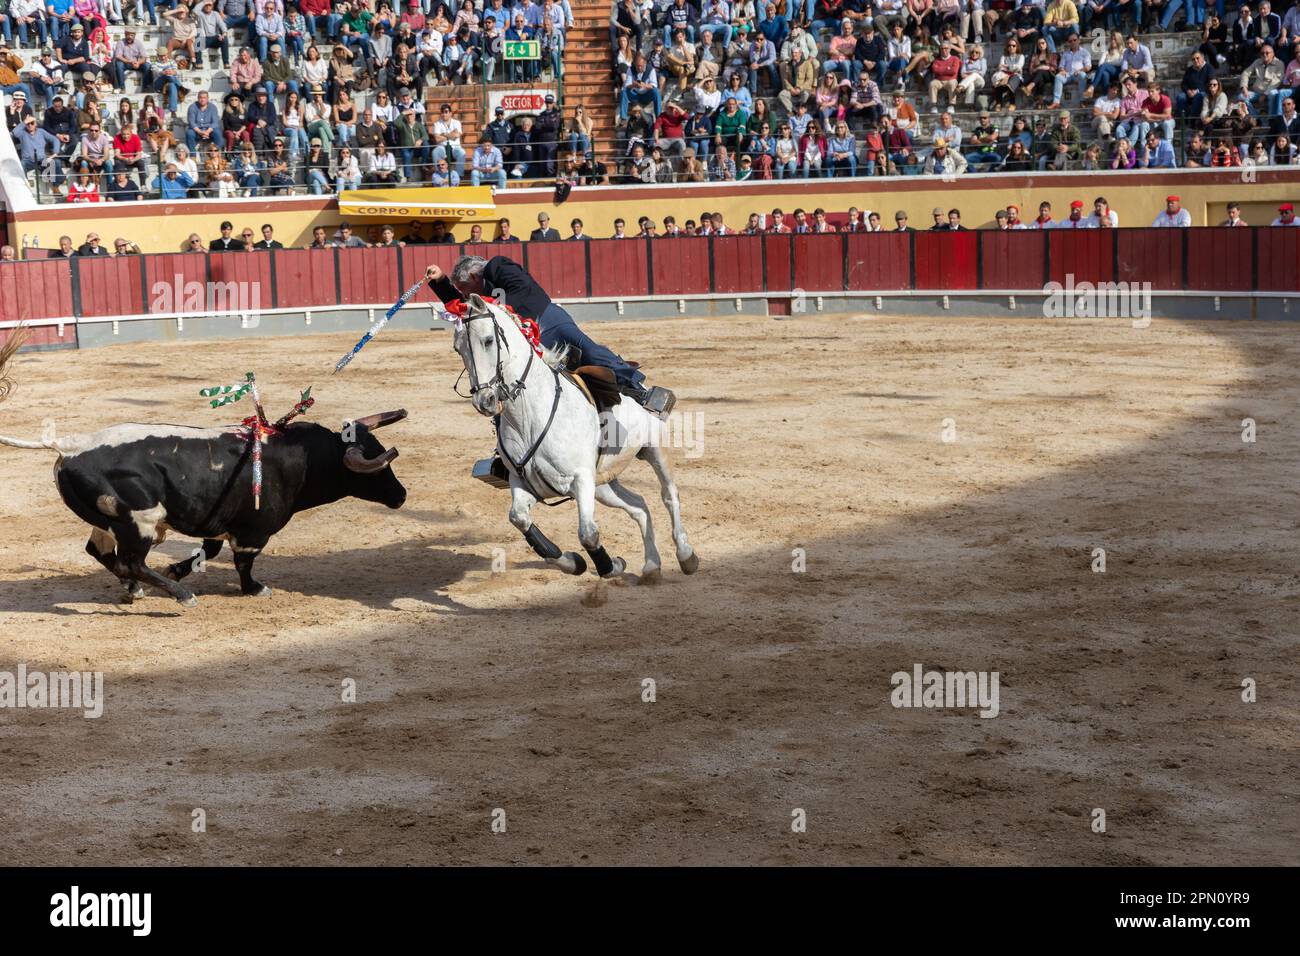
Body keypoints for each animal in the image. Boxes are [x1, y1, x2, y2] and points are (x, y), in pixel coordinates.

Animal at [50, 408, 405, 606]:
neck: (302, 459)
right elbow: (243, 563)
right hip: (138, 524)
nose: (401, 495)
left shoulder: (216, 521)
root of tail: (71, 448)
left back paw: (135, 590)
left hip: (109, 522)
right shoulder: (253, 532)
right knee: (132, 562)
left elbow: (210, 550)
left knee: (102, 553)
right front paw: (255, 589)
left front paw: (177, 569)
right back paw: (180, 595)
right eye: (378, 468)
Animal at [449, 293, 696, 582]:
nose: (484, 401)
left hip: (654, 450)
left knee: (669, 495)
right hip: (603, 483)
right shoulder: (525, 484)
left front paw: (609, 566)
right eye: (458, 348)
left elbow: (588, 534)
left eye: (488, 340)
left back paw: (686, 555)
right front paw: (576, 563)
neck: (529, 416)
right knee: (639, 505)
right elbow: (519, 519)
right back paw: (652, 565)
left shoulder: (581, 479)